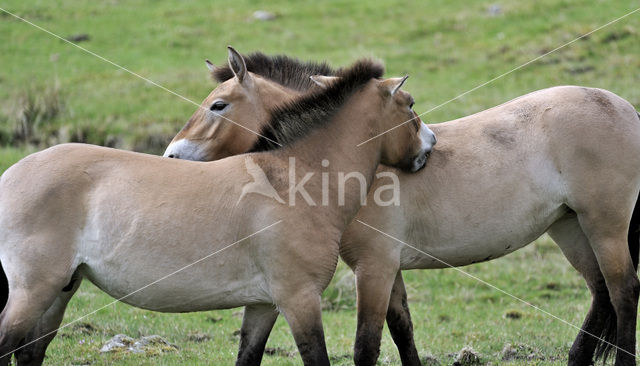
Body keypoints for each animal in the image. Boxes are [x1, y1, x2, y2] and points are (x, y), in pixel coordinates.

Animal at [0, 50, 436, 364]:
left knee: (29, 352)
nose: (430, 145)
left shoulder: (262, 305)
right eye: (411, 105)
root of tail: (11, 174)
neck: (294, 178)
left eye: (218, 105)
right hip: (33, 291)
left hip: (59, 292)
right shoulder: (300, 299)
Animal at [168, 49, 640, 366]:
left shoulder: (375, 266)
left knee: (623, 292)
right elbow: (403, 332)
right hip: (570, 227)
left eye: (218, 105)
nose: (172, 156)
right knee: (601, 295)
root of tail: (622, 107)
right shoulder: (387, 268)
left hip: (604, 227)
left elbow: (367, 345)